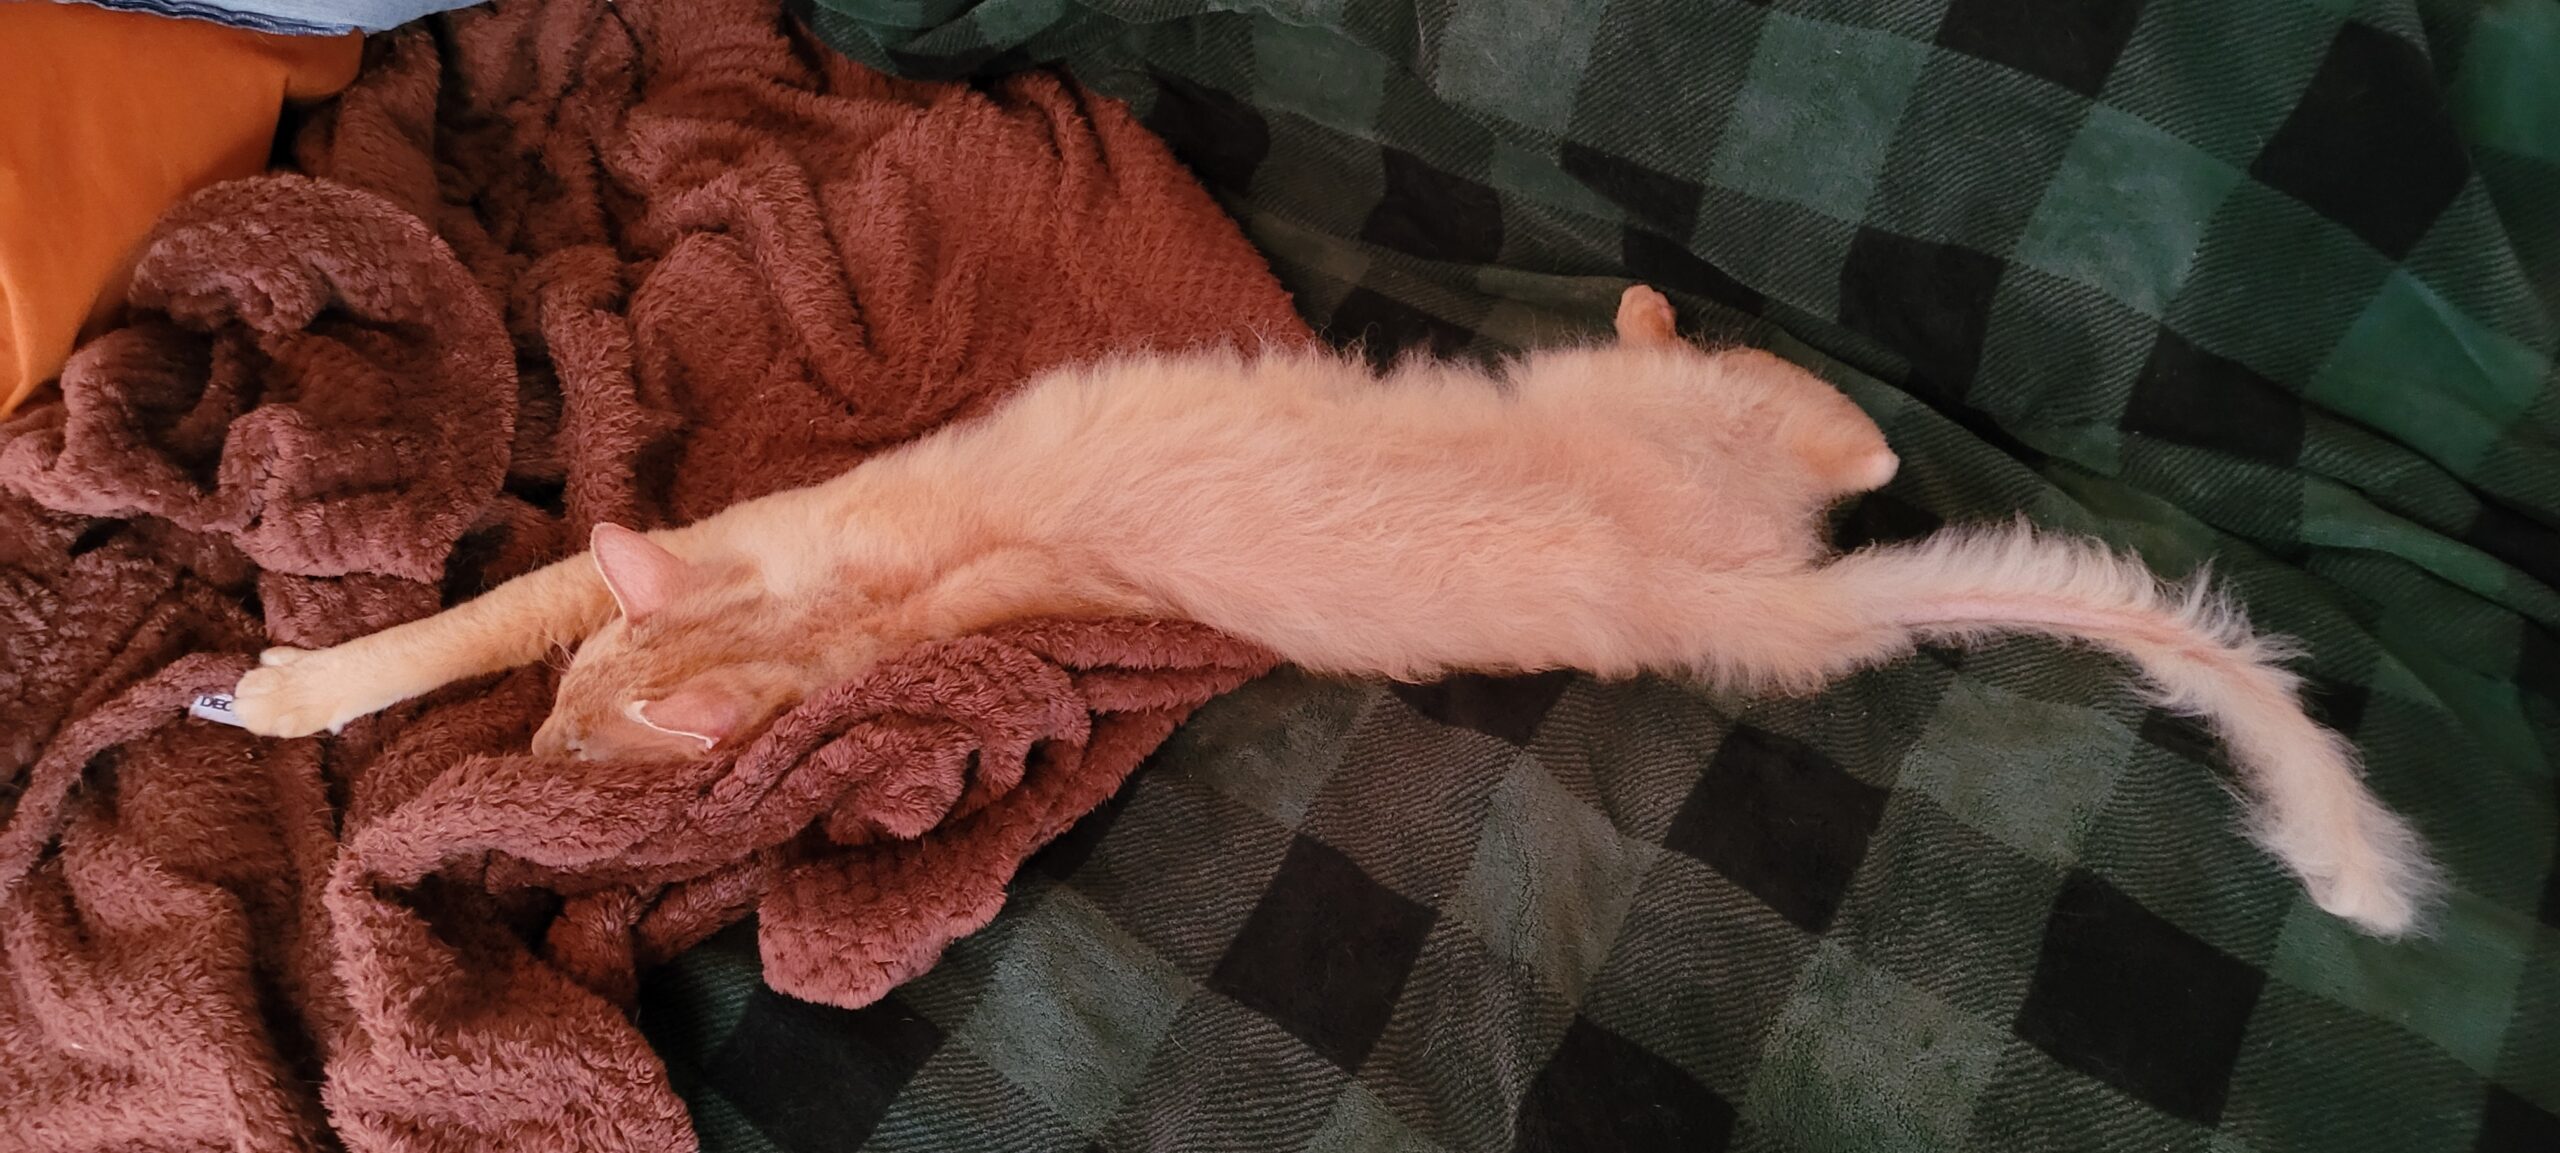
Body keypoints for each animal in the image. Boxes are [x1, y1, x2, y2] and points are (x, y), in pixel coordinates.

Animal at [230, 288, 2426, 937]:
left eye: (575, 739)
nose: (534, 762)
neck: (845, 595)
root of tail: (1754, 590)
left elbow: (481, 608)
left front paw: (290, 686)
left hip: (1684, 416)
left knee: (1853, 421)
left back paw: (1661, 302)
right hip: (1736, 479)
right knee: (1853, 445)